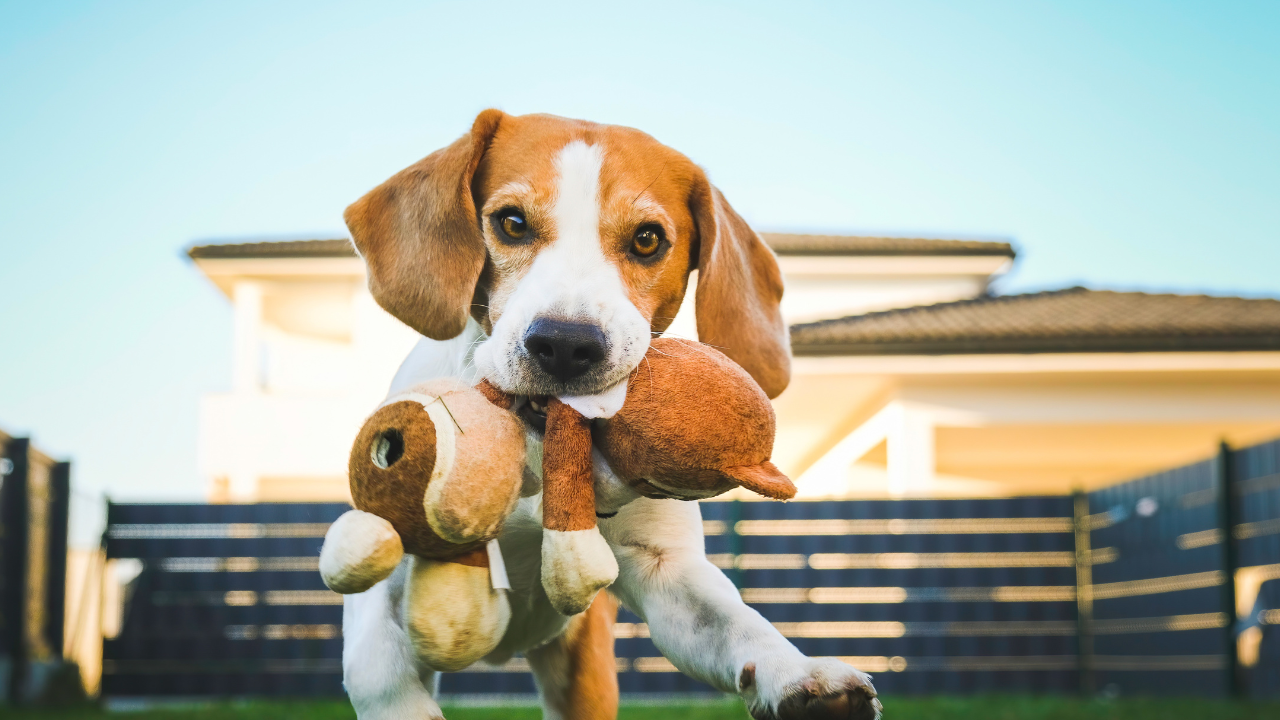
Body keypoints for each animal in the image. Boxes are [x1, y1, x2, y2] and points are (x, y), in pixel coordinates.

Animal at [340, 109, 880, 712]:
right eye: (511, 223)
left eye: (647, 239)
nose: (565, 343)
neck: (539, 455)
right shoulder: (380, 606)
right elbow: (385, 682)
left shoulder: (666, 572)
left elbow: (741, 625)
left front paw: (799, 675)